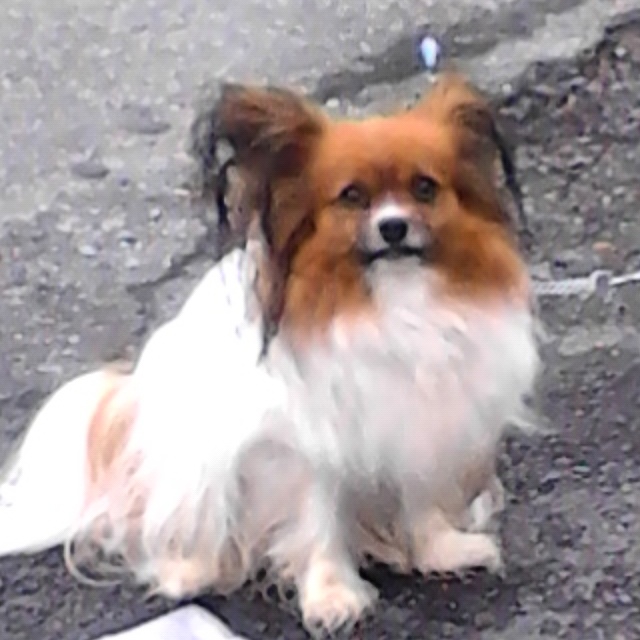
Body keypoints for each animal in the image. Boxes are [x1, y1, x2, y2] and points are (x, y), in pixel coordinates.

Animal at [0, 73, 540, 636]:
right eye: (352, 196)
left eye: (425, 188)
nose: (393, 227)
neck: (392, 300)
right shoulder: (304, 447)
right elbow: (317, 519)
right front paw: (332, 597)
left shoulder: (417, 425)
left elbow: (418, 500)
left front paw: (440, 550)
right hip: (191, 465)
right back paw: (187, 572)